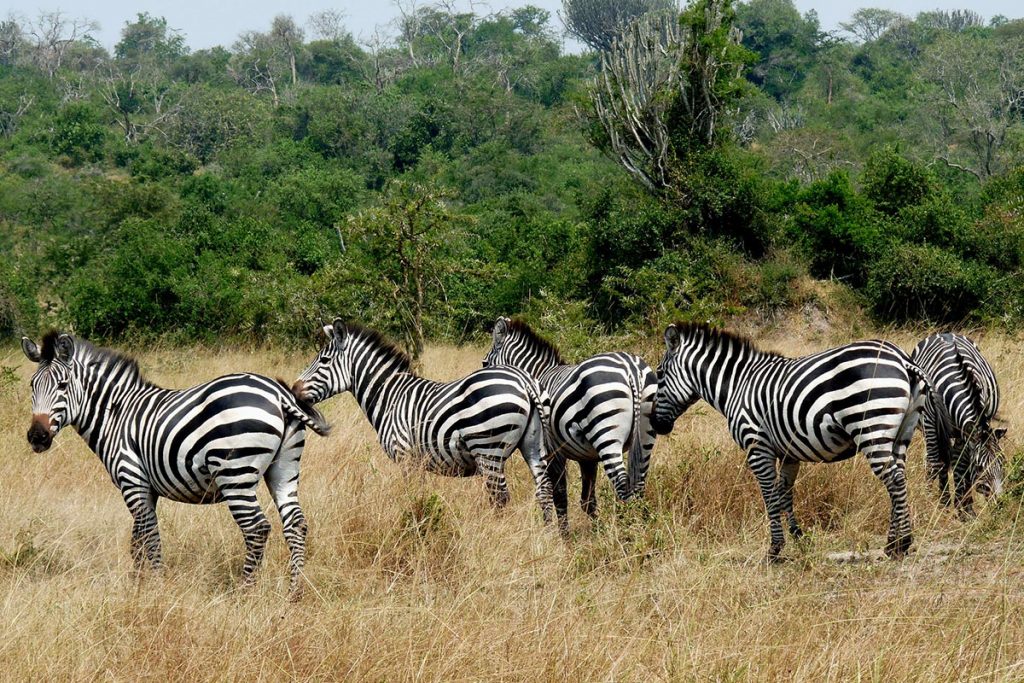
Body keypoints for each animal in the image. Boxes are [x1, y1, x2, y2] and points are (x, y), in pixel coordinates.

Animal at [20, 333, 327, 602]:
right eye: (32, 386)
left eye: (62, 385)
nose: (37, 437)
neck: (116, 415)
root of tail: (278, 393)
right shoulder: (146, 488)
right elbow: (137, 540)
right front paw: (138, 584)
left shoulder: (132, 480)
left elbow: (150, 537)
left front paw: (155, 586)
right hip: (284, 469)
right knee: (296, 524)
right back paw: (294, 592)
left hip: (234, 474)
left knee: (257, 528)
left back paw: (245, 592)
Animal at [292, 317, 557, 520]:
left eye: (324, 361)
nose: (294, 390)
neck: (389, 396)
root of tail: (524, 380)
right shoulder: (417, 462)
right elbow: (421, 497)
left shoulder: (406, 457)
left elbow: (413, 499)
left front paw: (416, 529)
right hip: (532, 445)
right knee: (544, 492)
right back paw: (549, 539)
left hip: (487, 450)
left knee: (500, 497)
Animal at [481, 317, 655, 532]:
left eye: (485, 363)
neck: (538, 375)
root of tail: (631, 369)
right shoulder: (588, 458)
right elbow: (587, 500)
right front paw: (595, 531)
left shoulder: (553, 453)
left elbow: (559, 494)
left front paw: (564, 534)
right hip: (645, 436)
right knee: (639, 486)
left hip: (607, 436)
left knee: (623, 487)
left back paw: (628, 531)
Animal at [651, 321, 933, 561]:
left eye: (660, 375)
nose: (655, 424)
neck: (737, 386)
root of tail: (901, 358)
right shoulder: (789, 453)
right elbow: (784, 493)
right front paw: (800, 539)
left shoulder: (757, 446)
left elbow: (769, 495)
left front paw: (775, 549)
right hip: (900, 433)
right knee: (899, 477)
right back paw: (893, 542)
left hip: (871, 427)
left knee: (894, 480)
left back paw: (901, 544)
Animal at [909, 331, 1003, 511]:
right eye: (980, 468)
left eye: (1002, 463)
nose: (999, 503)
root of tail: (945, 332)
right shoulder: (931, 424)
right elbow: (935, 464)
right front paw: (932, 502)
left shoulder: (965, 431)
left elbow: (961, 467)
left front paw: (964, 506)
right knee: (937, 461)